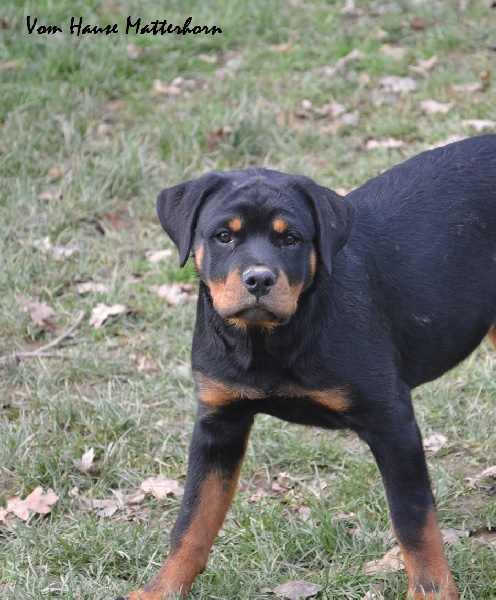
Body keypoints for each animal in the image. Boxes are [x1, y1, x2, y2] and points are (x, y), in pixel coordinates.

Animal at [120, 136, 496, 600]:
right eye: (224, 236)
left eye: (291, 239)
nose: (259, 279)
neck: (267, 341)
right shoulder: (218, 422)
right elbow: (192, 518)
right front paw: (161, 589)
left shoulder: (392, 421)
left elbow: (414, 520)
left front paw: (432, 591)